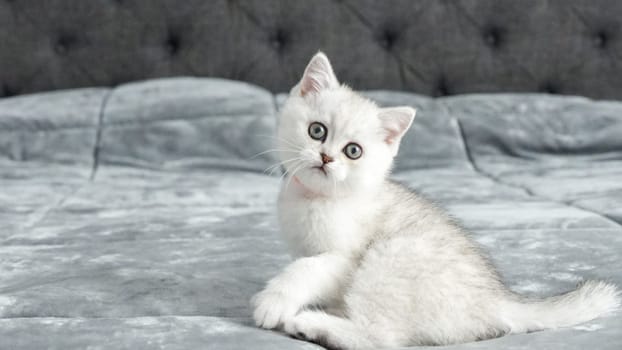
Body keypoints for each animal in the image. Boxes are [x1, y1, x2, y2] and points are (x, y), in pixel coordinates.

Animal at [251, 52, 620, 350]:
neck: (317, 199)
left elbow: (305, 270)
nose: (326, 158)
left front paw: (272, 302)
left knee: (379, 337)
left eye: (353, 151)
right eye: (317, 131)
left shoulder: (343, 257)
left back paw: (310, 324)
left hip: (393, 253)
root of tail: (498, 300)